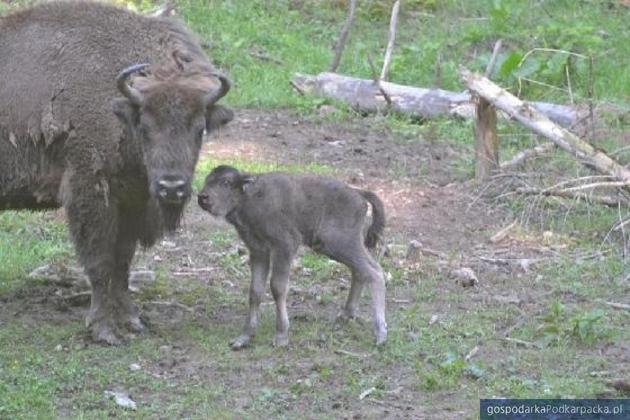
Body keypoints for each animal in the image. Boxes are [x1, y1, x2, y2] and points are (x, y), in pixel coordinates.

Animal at [0, 1, 232, 344]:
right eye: (144, 127)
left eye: (200, 128)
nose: (172, 187)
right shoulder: (91, 193)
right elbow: (99, 261)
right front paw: (103, 330)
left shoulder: (132, 200)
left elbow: (122, 262)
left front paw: (131, 320)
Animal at [200, 166, 388, 350]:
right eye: (207, 180)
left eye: (226, 182)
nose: (202, 197)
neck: (248, 196)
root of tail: (358, 193)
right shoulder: (259, 252)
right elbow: (255, 291)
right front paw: (243, 338)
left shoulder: (284, 246)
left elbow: (277, 287)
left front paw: (281, 336)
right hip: (335, 247)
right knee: (360, 272)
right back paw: (346, 315)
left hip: (340, 243)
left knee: (374, 272)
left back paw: (380, 334)